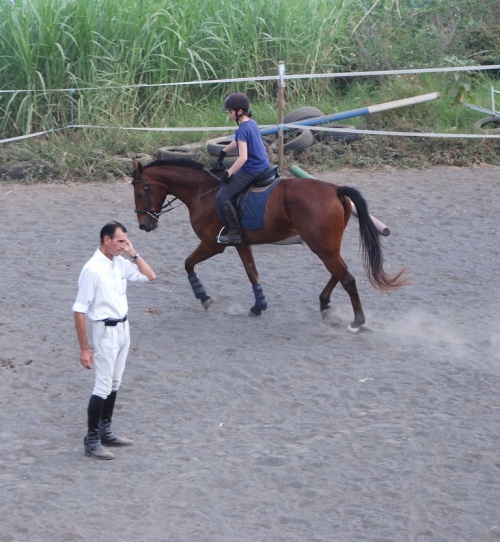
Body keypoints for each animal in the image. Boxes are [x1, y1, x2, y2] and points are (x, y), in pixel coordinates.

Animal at [131, 159, 408, 334]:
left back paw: (357, 321)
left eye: (139, 192)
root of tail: (336, 189)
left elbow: (188, 263)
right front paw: (258, 306)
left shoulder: (212, 244)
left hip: (322, 247)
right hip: (326, 246)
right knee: (339, 272)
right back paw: (324, 303)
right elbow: (252, 272)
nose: (144, 225)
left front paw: (205, 298)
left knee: (347, 278)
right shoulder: (241, 243)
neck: (204, 192)